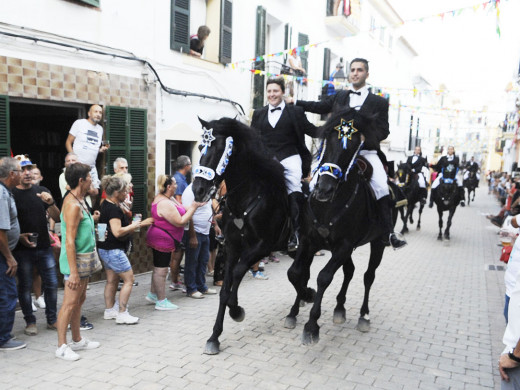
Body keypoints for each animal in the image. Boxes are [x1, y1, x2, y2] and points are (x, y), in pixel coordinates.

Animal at [191, 115, 290, 354]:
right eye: (200, 147)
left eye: (219, 149)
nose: (198, 190)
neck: (247, 199)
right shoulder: (232, 246)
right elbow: (225, 288)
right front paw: (214, 337)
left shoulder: (262, 246)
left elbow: (236, 274)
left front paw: (236, 310)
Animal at [286, 109, 400, 344]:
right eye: (327, 142)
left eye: (354, 146)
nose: (324, 189)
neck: (328, 206)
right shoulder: (309, 242)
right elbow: (296, 273)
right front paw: (297, 308)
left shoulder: (344, 245)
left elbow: (323, 277)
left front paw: (312, 325)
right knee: (350, 271)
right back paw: (340, 307)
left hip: (377, 244)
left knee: (368, 276)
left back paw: (364, 316)